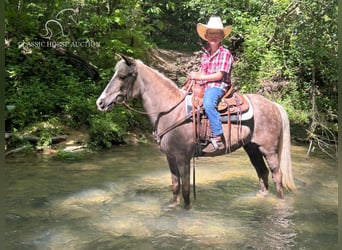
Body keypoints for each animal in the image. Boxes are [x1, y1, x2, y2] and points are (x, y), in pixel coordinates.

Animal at [96, 54, 296, 209]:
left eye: (122, 76)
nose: (100, 102)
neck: (170, 110)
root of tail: (274, 105)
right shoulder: (170, 157)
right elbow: (175, 186)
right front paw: (173, 206)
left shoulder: (183, 158)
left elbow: (185, 190)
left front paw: (186, 210)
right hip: (252, 148)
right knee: (262, 173)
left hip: (268, 149)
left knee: (277, 175)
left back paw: (280, 202)